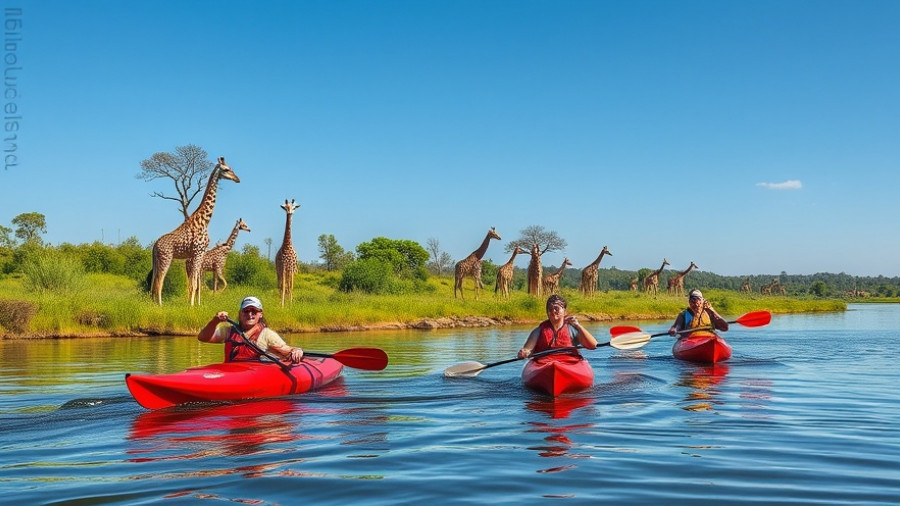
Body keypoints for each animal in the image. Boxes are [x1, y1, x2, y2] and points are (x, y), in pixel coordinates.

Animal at [150, 157, 240, 305]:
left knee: (153, 282)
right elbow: (194, 284)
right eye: (227, 169)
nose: (237, 179)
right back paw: (160, 306)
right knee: (159, 282)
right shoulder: (198, 253)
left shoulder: (197, 255)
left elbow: (195, 284)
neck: (205, 221)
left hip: (157, 261)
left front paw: (194, 304)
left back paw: (153, 303)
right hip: (166, 259)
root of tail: (155, 246)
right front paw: (192, 306)